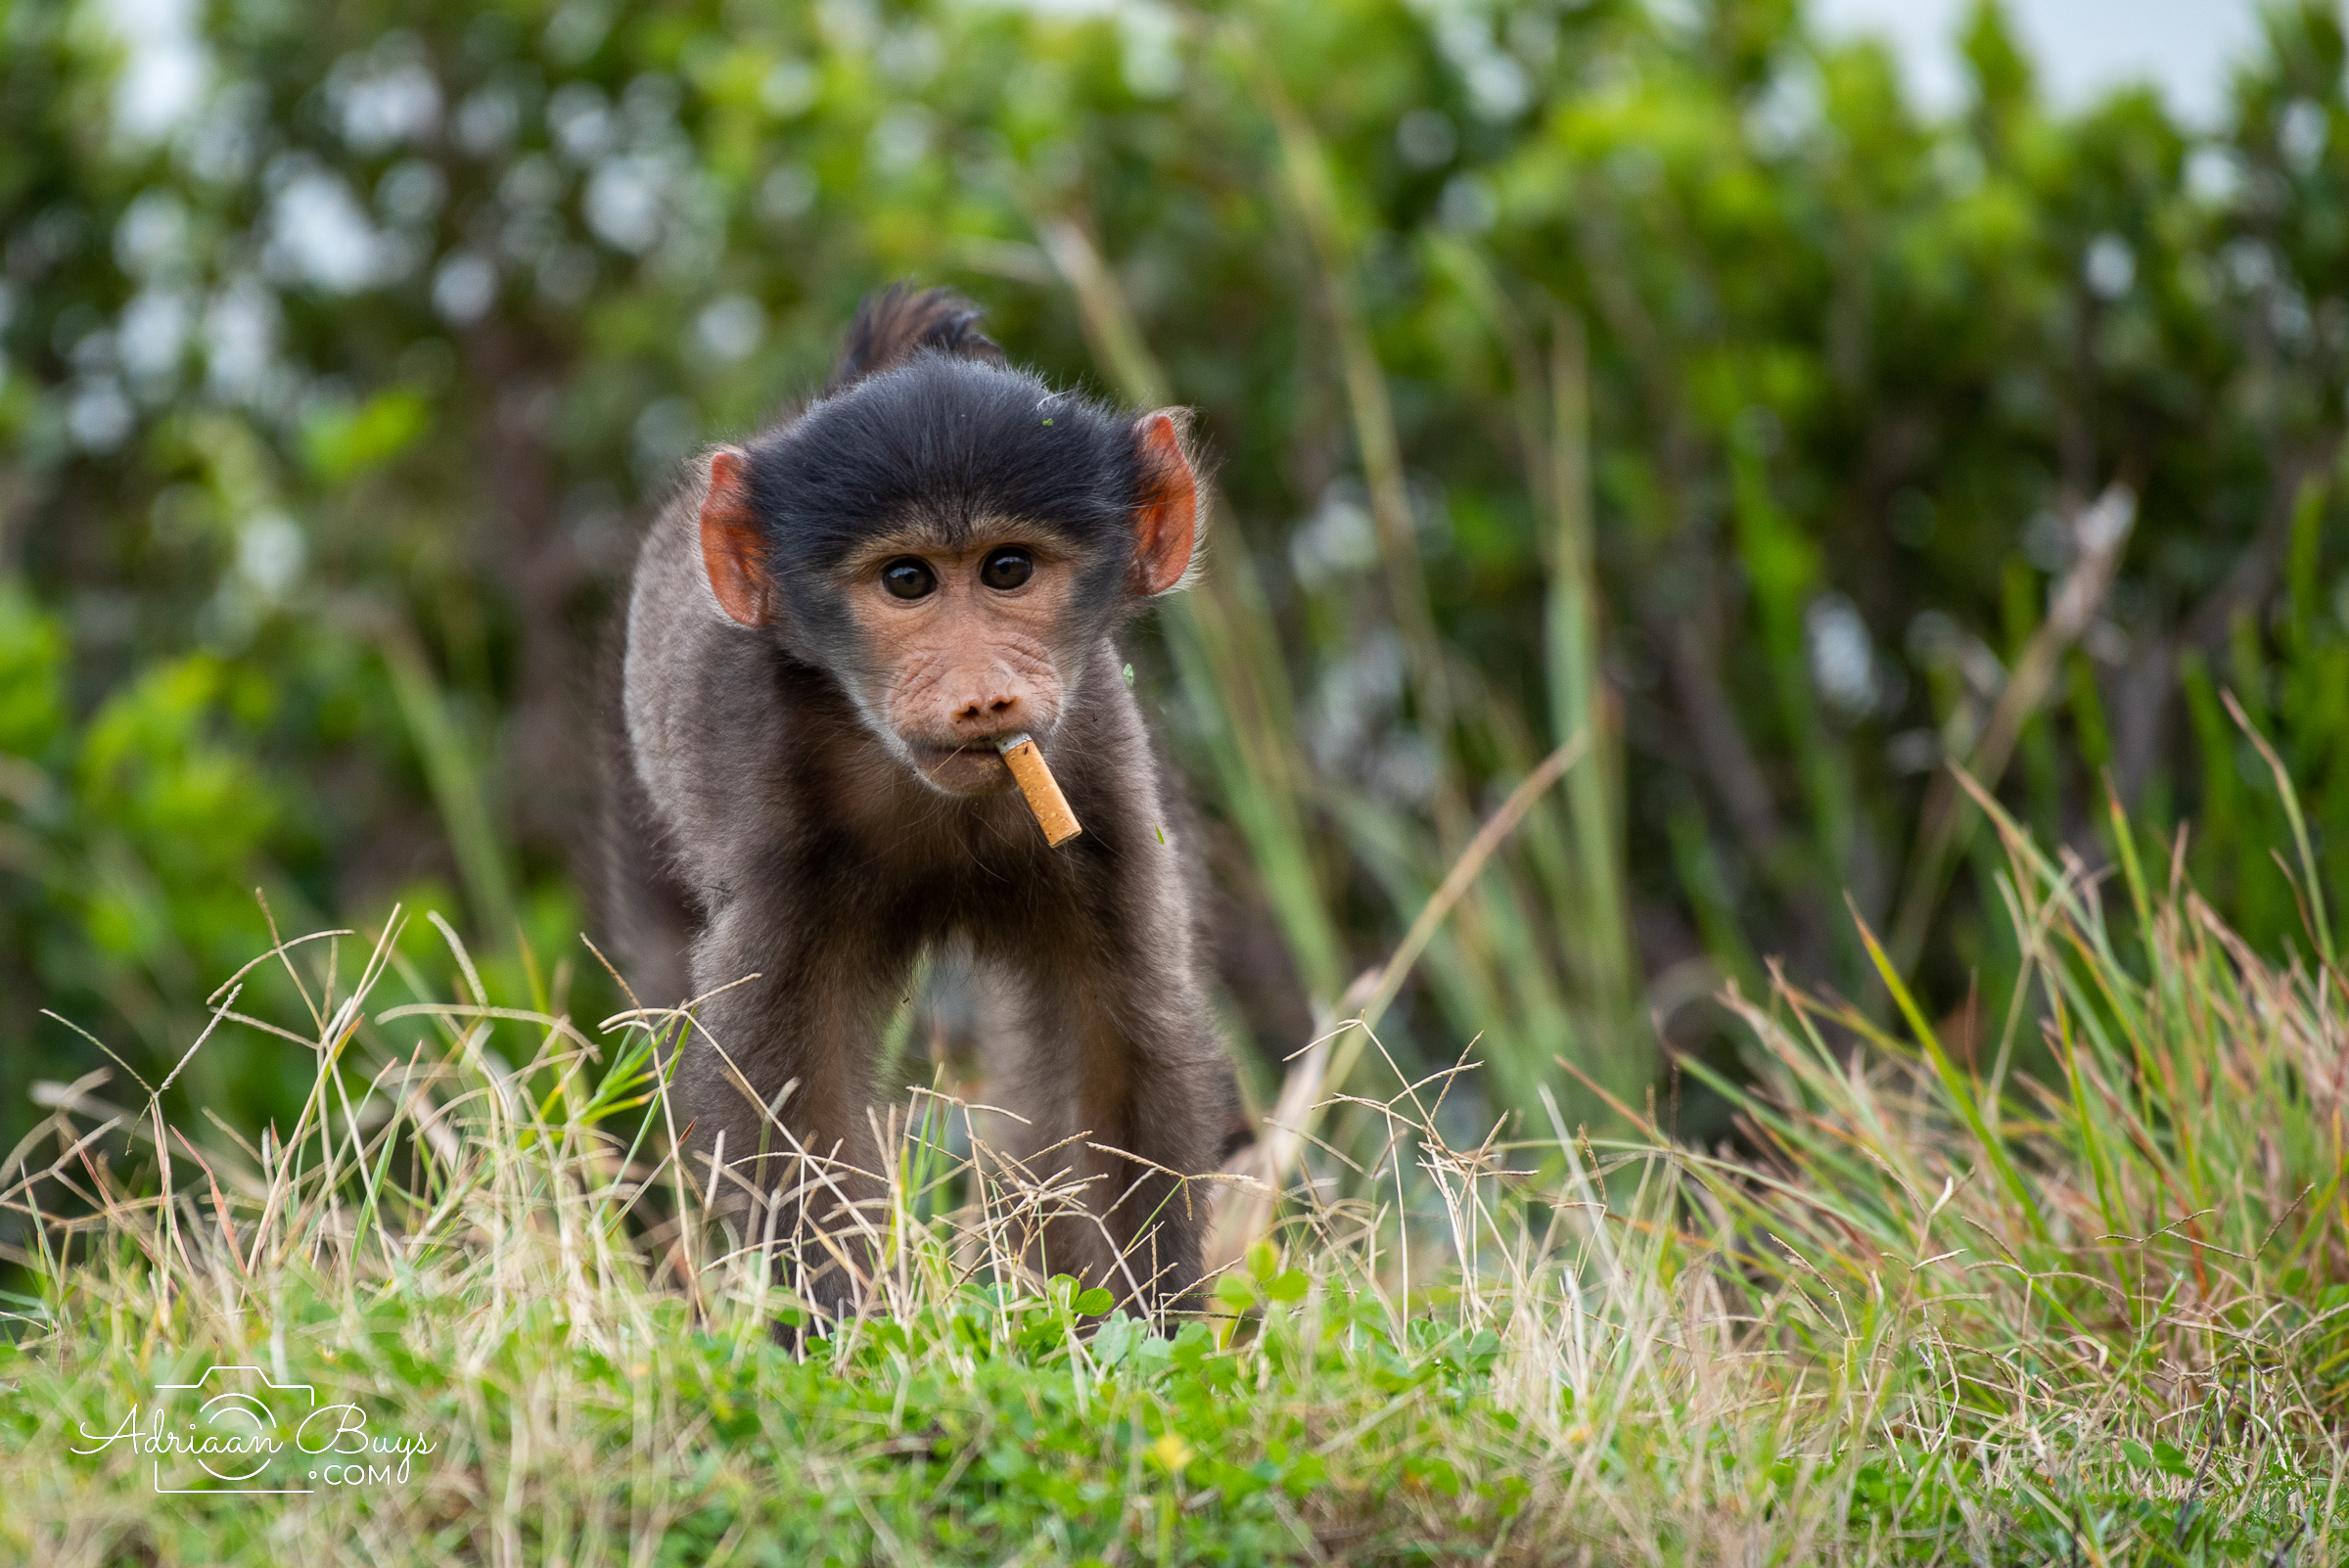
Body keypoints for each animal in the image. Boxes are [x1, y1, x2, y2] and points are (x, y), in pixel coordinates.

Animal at [601, 284, 1238, 1324]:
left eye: (1008, 569)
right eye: (907, 579)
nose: (980, 699)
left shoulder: (1099, 783)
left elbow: (1113, 1042)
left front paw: (1143, 1326)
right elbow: (785, 1078)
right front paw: (844, 1328)